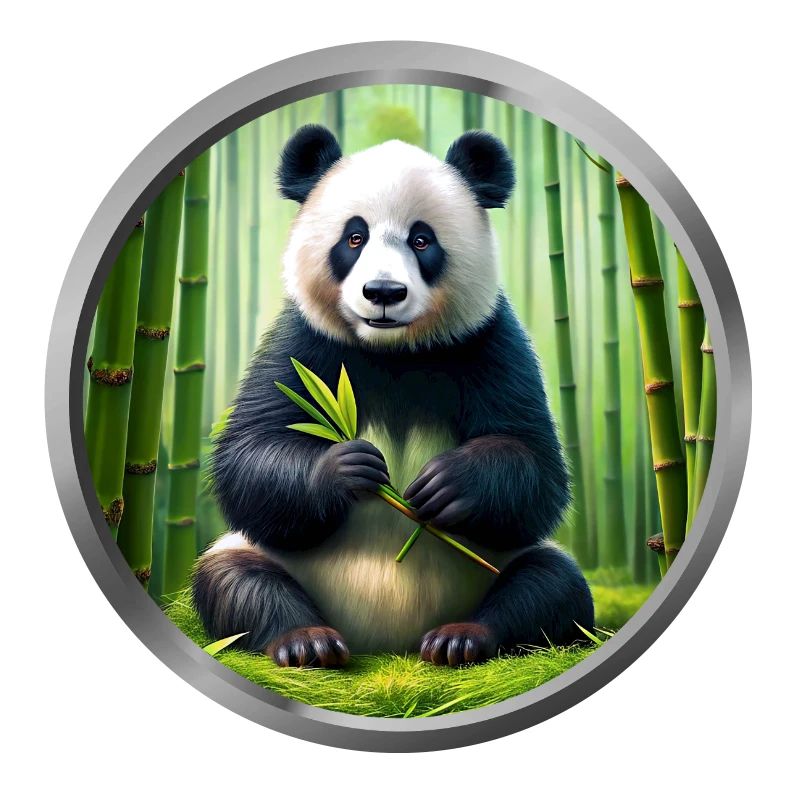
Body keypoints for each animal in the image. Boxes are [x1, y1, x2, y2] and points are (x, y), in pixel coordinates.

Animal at [193, 124, 594, 668]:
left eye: (421, 239)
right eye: (354, 237)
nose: (383, 292)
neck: (394, 351)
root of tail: (385, 643)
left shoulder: (489, 340)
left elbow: (534, 463)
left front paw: (448, 483)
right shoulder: (303, 345)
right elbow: (249, 456)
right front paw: (347, 468)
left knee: (550, 583)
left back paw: (461, 638)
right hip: (262, 560)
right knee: (234, 579)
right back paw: (307, 642)